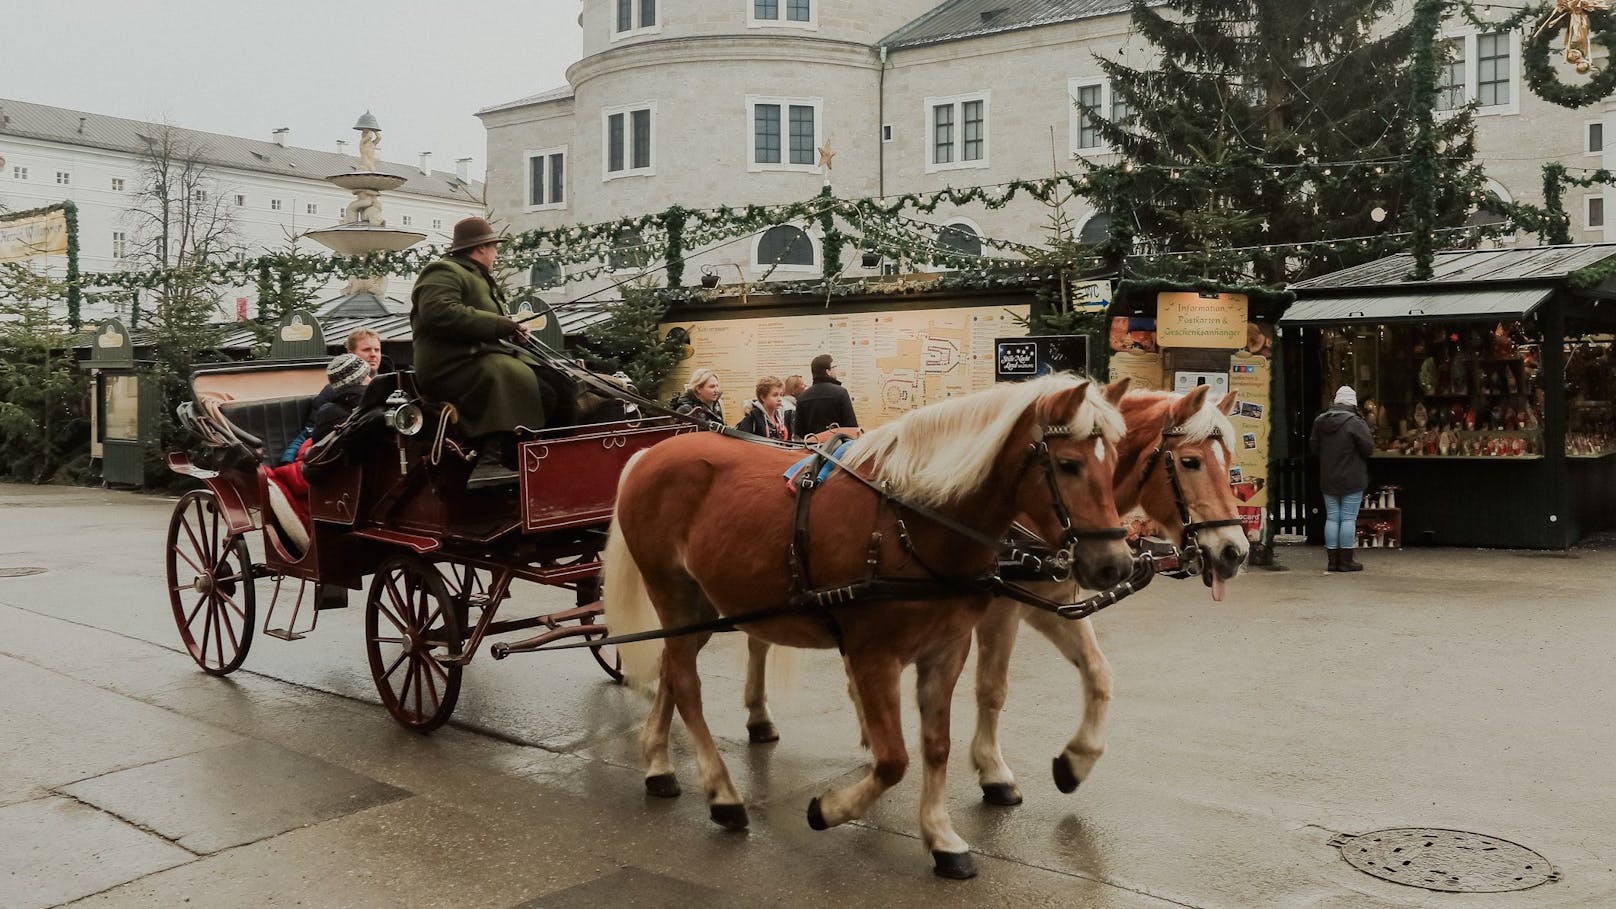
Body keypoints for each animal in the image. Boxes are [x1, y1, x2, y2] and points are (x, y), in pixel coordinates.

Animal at [604, 372, 1137, 873]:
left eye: (1114, 461)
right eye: (1068, 465)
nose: (1115, 564)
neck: (912, 521)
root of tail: (648, 455)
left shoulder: (946, 649)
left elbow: (936, 745)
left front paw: (941, 836)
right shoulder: (872, 655)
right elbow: (894, 758)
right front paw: (832, 808)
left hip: (706, 608)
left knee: (673, 671)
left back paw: (658, 763)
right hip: (674, 596)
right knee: (687, 686)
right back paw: (721, 793)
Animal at [740, 380, 1241, 799]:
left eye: (1230, 464)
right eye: (1191, 461)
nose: (1234, 550)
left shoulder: (1049, 604)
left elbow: (1099, 673)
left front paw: (1076, 760)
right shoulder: (1001, 610)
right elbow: (992, 688)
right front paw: (993, 771)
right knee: (757, 641)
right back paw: (759, 716)